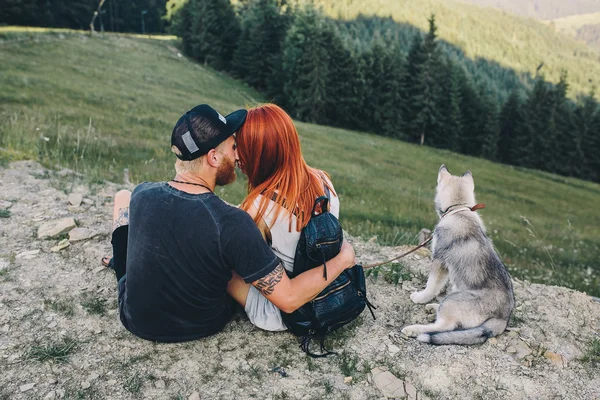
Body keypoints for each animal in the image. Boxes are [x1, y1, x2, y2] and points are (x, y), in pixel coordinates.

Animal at [400, 164, 512, 346]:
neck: (459, 209)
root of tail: (502, 319)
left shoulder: (439, 261)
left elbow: (432, 286)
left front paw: (421, 298)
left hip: (453, 302)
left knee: (444, 327)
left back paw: (414, 329)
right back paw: (434, 307)